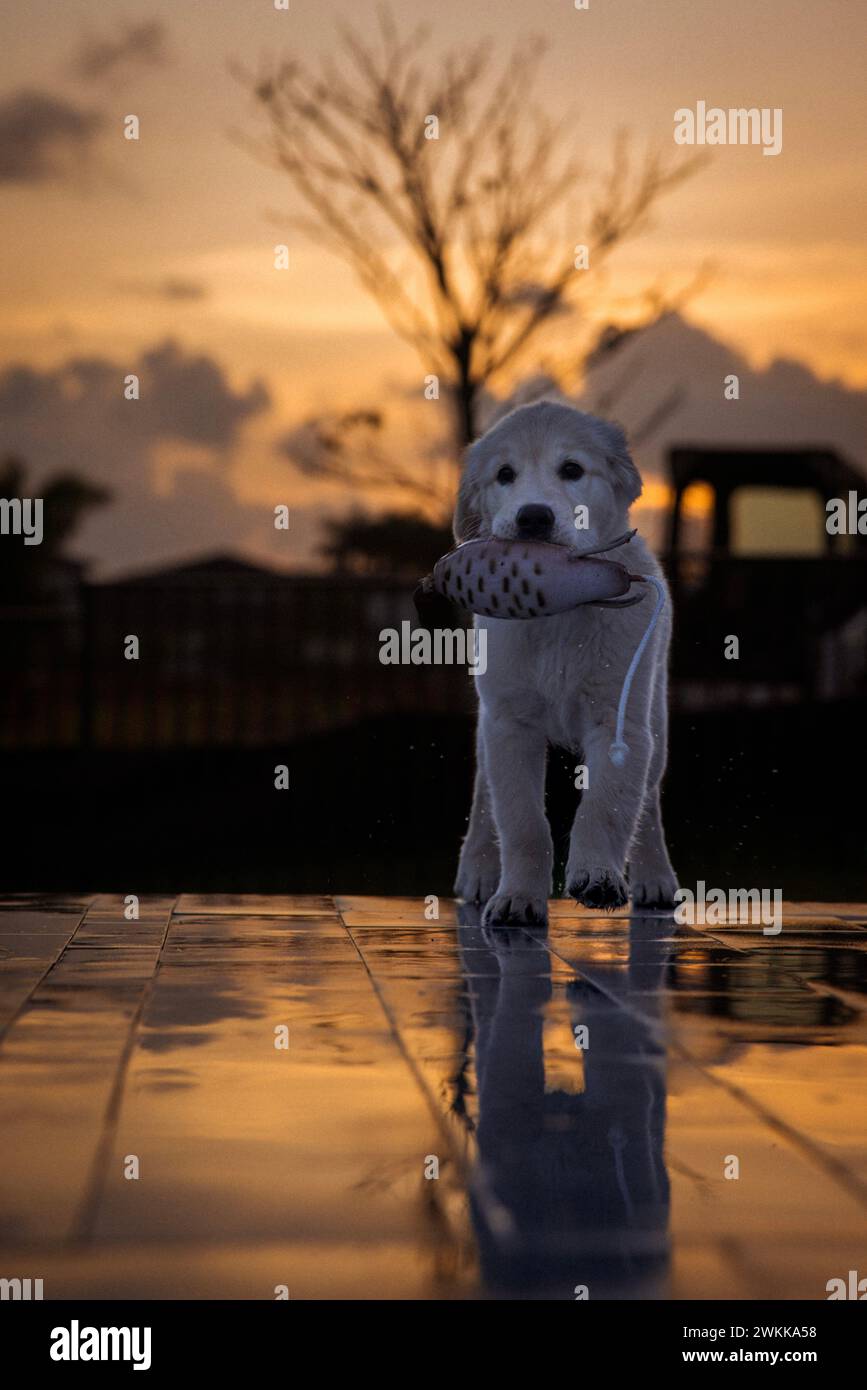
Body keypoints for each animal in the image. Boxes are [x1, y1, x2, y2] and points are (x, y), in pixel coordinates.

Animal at [452, 403, 678, 922]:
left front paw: (597, 877)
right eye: (505, 475)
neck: (558, 608)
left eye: (572, 469)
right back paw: (478, 870)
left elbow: (606, 808)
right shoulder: (508, 724)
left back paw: (655, 878)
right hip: (485, 728)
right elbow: (521, 821)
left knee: (649, 802)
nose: (534, 517)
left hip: (656, 718)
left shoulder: (619, 722)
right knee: (483, 794)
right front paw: (517, 898)